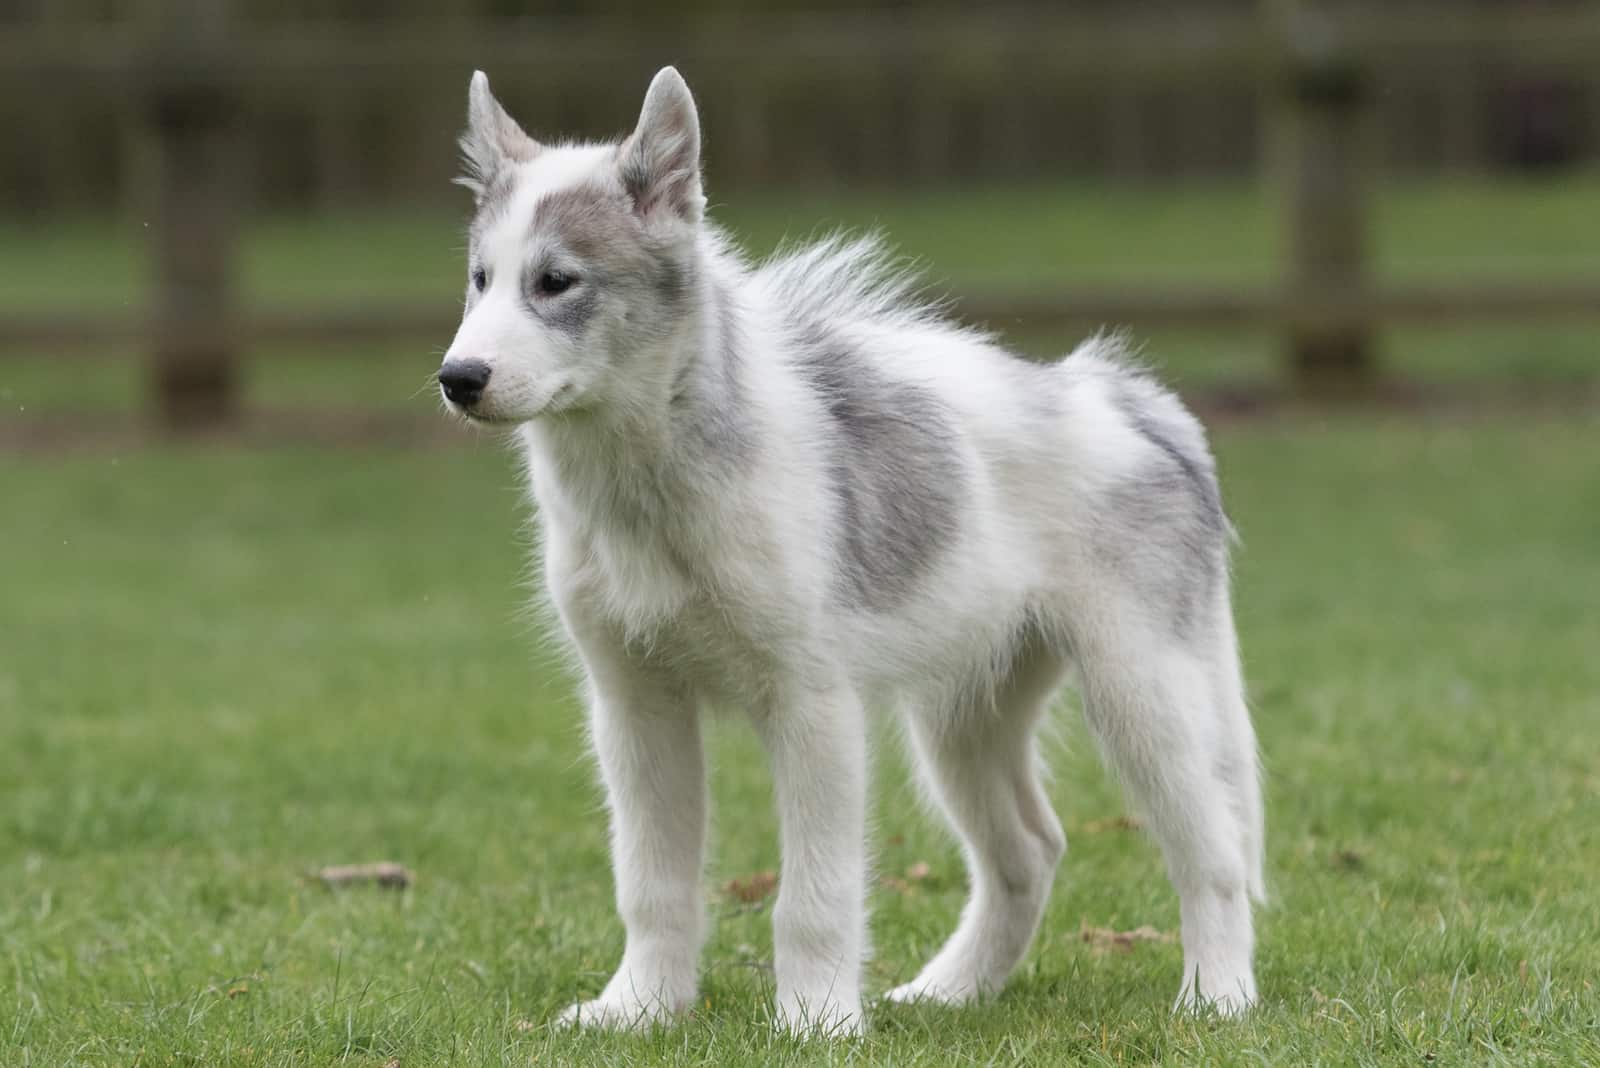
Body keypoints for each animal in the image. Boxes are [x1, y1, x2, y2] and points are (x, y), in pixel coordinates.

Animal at [438, 66, 1260, 1036]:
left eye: (557, 281)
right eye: (479, 280)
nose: (457, 379)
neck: (649, 482)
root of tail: (1125, 397)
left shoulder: (813, 706)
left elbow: (814, 895)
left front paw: (816, 1021)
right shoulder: (634, 705)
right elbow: (652, 881)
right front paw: (638, 1009)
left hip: (1144, 690)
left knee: (1212, 849)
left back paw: (1218, 997)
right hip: (966, 713)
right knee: (1029, 850)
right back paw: (951, 991)